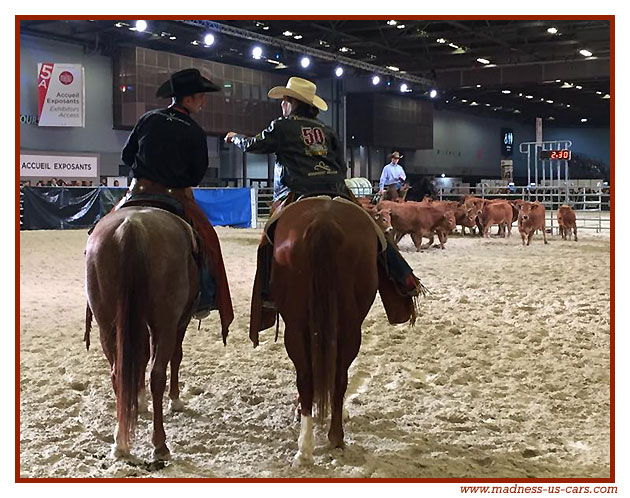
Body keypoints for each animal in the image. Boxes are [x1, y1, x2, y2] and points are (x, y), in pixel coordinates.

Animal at [85, 205, 200, 460]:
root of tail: (131, 225)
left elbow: (140, 357)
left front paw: (138, 399)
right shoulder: (180, 321)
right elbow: (175, 357)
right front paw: (175, 399)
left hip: (107, 326)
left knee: (117, 372)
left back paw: (120, 442)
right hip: (166, 324)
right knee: (157, 374)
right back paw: (160, 445)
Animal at [270, 196, 380, 464]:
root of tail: (324, 222)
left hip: (297, 327)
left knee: (309, 378)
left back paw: (307, 447)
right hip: (348, 327)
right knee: (337, 376)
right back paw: (330, 439)